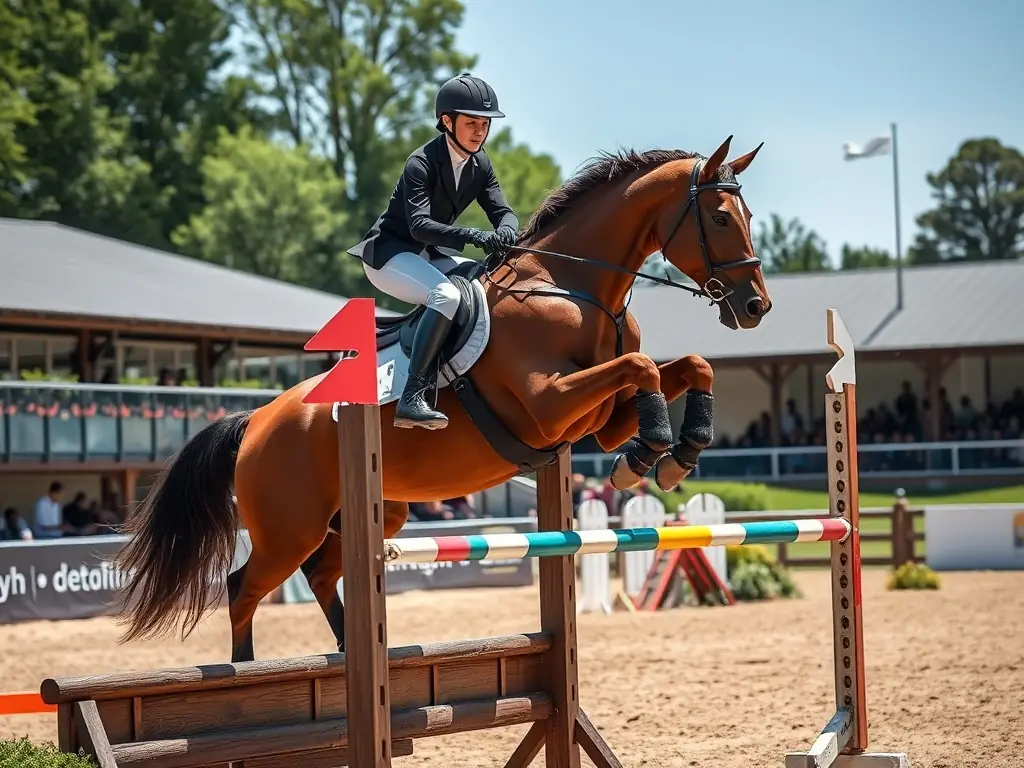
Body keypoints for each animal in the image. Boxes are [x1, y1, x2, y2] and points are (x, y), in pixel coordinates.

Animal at [114, 135, 772, 662]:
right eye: (719, 218)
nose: (755, 306)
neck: (572, 288)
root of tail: (255, 420)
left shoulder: (595, 418)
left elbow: (685, 368)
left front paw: (673, 455)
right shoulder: (549, 405)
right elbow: (641, 369)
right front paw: (651, 455)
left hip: (371, 515)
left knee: (322, 575)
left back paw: (354, 652)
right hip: (288, 528)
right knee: (243, 588)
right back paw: (249, 674)